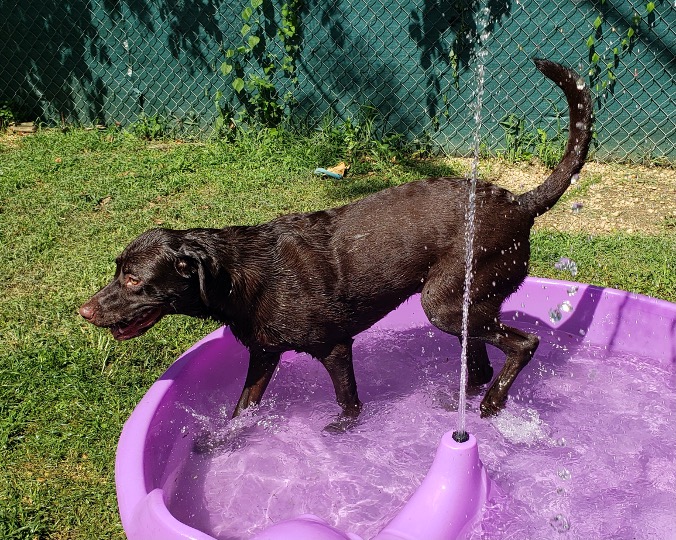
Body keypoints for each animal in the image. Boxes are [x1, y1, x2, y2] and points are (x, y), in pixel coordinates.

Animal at [80, 59, 592, 420]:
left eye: (132, 279)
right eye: (116, 270)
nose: (83, 311)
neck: (239, 275)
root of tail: (519, 202)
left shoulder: (334, 348)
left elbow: (348, 407)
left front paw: (342, 432)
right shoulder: (263, 356)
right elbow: (240, 412)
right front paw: (216, 445)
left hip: (446, 301)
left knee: (524, 345)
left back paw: (491, 405)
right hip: (467, 307)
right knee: (482, 364)